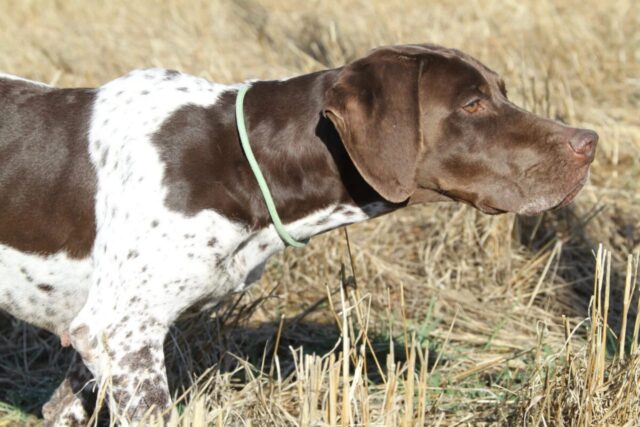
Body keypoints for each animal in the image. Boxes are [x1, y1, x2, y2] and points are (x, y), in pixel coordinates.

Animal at [1, 45, 600, 426]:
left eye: (501, 91)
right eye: (471, 104)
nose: (589, 141)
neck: (243, 159)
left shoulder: (99, 340)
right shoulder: (119, 332)